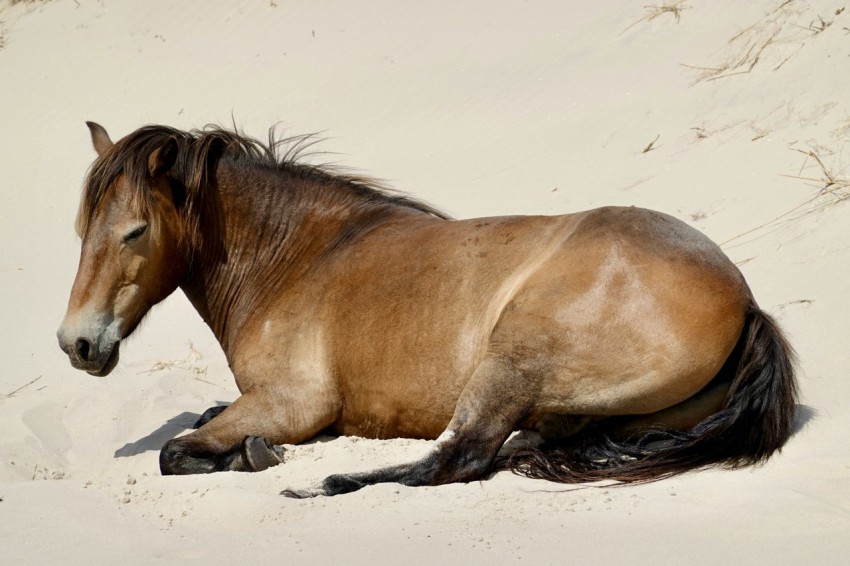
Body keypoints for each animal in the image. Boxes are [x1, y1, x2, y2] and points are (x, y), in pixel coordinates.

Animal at [57, 122, 797, 497]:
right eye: (81, 229)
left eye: (135, 232)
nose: (77, 345)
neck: (299, 256)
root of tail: (745, 302)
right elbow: (202, 422)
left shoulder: (293, 403)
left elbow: (176, 452)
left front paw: (255, 456)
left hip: (510, 363)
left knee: (455, 459)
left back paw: (327, 483)